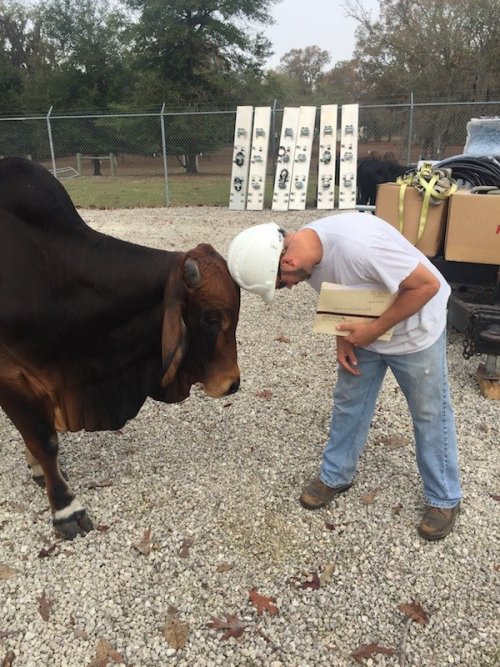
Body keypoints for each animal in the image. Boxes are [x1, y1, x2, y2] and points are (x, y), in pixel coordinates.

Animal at [0, 159, 240, 540]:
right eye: (211, 317)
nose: (233, 382)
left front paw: (36, 467)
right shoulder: (9, 372)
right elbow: (44, 438)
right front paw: (65, 508)